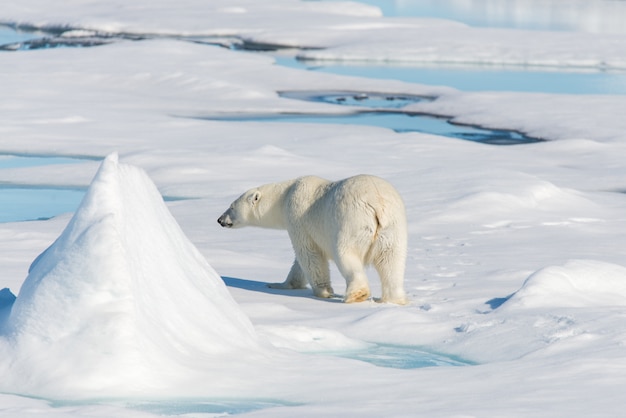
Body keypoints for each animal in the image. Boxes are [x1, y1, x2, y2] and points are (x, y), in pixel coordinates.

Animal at [217, 174, 408, 304]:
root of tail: (377, 203)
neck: (285, 195)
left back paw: (355, 294)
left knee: (346, 254)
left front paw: (323, 292)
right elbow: (299, 263)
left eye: (231, 206)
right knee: (392, 261)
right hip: (393, 228)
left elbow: (309, 254)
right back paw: (393, 299)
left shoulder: (298, 217)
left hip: (352, 222)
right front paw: (281, 284)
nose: (220, 219)